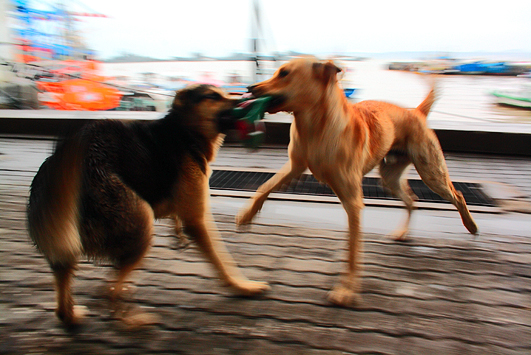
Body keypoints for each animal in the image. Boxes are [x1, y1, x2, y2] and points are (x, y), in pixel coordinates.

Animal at [28, 84, 270, 328]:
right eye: (212, 96)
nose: (246, 99)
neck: (184, 131)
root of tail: (68, 157)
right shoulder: (197, 219)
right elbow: (222, 260)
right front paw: (241, 286)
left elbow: (176, 216)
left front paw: (177, 234)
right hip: (140, 223)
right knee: (108, 290)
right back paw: (130, 320)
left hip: (68, 232)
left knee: (67, 277)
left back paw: (72, 316)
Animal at [237, 57, 478, 308]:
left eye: (284, 73)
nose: (250, 88)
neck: (316, 128)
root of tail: (416, 112)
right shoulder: (294, 166)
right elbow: (264, 187)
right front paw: (246, 215)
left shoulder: (352, 200)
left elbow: (353, 250)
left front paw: (346, 290)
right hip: (390, 178)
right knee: (412, 199)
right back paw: (402, 232)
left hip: (431, 173)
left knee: (457, 195)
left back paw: (471, 225)